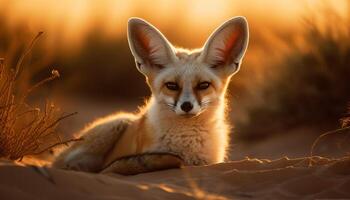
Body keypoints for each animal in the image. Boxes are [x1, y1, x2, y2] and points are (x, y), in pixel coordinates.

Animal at [52, 16, 249, 173]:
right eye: (171, 86)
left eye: (203, 85)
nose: (186, 106)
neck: (186, 144)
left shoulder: (209, 162)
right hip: (118, 122)